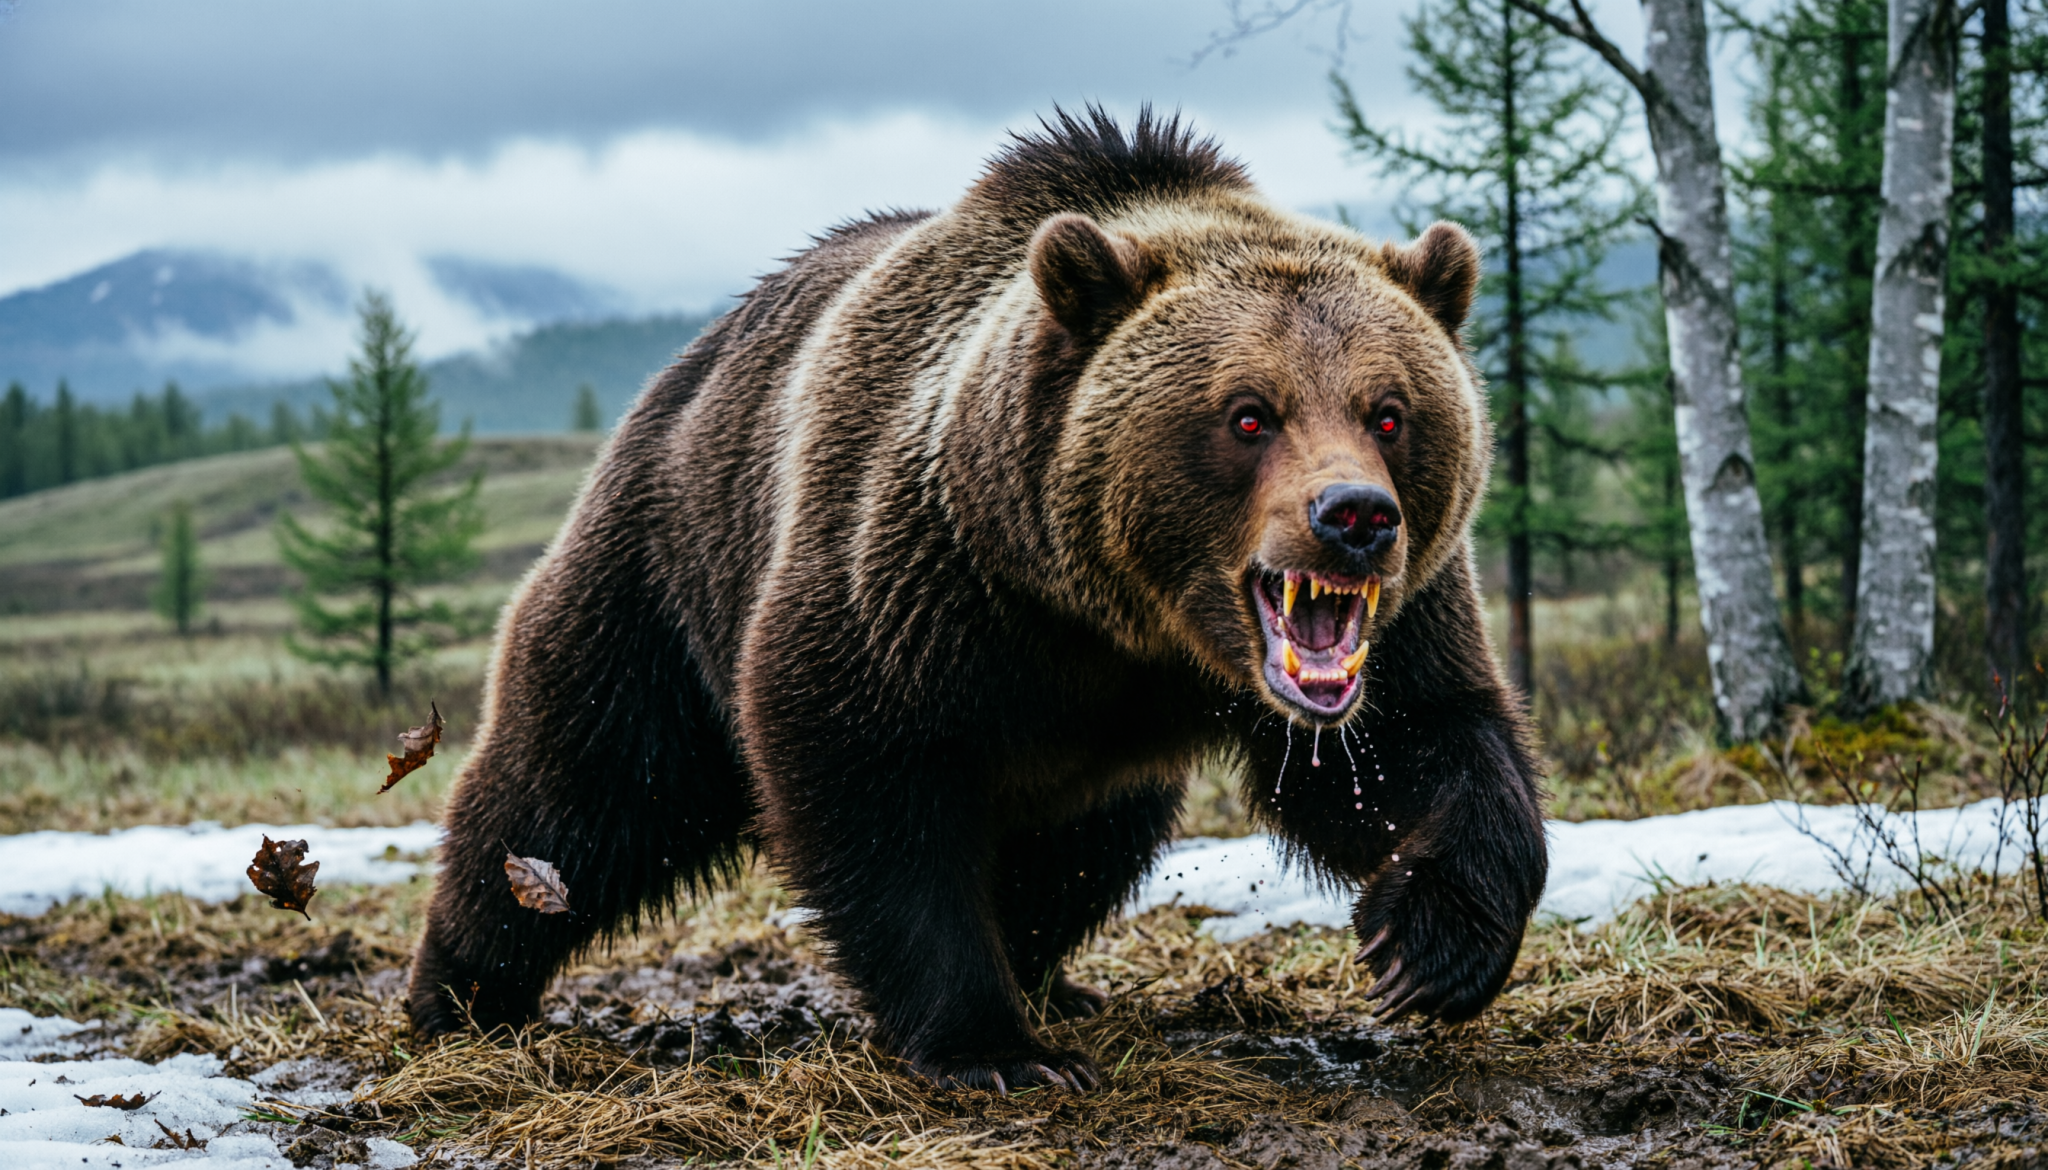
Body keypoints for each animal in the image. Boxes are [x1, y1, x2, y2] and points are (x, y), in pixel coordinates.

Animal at [408, 107, 1547, 1092]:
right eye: (1248, 413)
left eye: (1389, 411)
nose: (1353, 516)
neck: (1117, 621)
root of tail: (677, 376)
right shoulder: (918, 578)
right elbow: (869, 785)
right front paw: (992, 1047)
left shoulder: (1391, 622)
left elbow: (1419, 740)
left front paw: (1429, 943)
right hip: (662, 573)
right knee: (575, 789)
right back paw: (459, 993)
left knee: (1088, 844)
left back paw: (1058, 979)